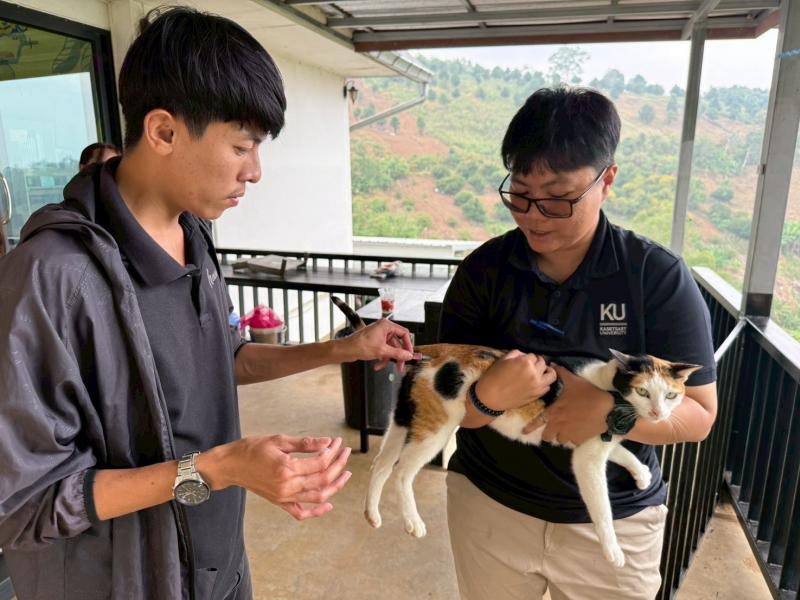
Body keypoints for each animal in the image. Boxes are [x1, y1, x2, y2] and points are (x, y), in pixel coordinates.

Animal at [331, 296, 699, 567]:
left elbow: (622, 452)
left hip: (405, 419)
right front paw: (613, 551)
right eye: (643, 392)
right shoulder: (587, 459)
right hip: (435, 428)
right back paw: (412, 523)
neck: (608, 386)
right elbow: (602, 507)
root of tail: (427, 350)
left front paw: (641, 475)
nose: (658, 412)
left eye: (671, 395)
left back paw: (373, 514)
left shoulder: (597, 441)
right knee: (402, 473)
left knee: (380, 465)